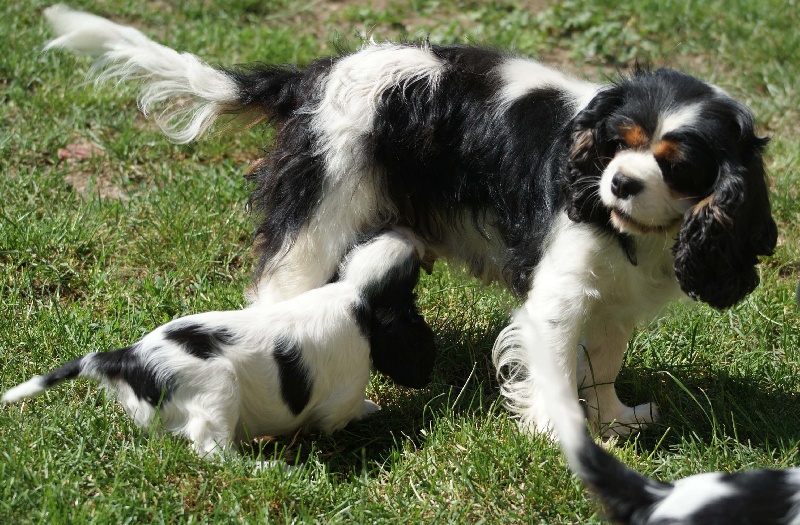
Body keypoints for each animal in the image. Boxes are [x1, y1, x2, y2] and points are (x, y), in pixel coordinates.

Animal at [3, 229, 434, 454]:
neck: (355, 292)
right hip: (217, 390)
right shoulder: (344, 392)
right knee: (213, 451)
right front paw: (371, 411)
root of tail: (127, 358)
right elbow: (346, 413)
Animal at [40, 6, 780, 436]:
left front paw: (617, 420)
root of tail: (315, 76)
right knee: (278, 296)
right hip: (321, 217)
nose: (620, 182)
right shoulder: (558, 297)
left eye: (676, 167)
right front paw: (561, 438)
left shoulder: (614, 304)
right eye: (617, 143)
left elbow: (601, 366)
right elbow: (555, 374)